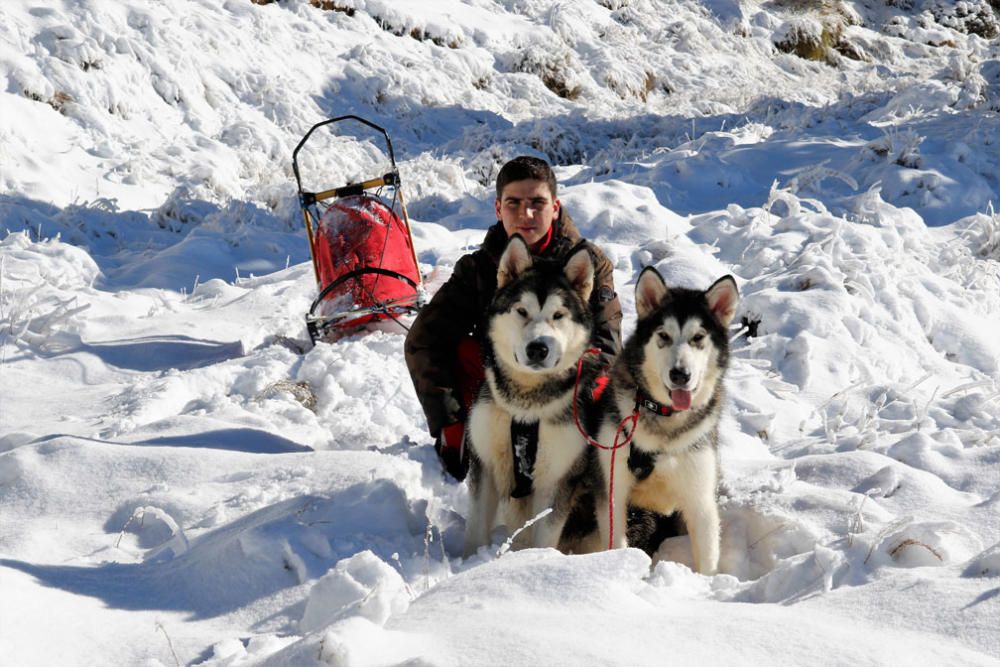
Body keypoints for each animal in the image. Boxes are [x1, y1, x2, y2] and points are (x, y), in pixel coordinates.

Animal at [464, 235, 604, 560]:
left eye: (558, 315)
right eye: (522, 311)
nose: (538, 348)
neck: (525, 405)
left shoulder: (557, 479)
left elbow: (545, 537)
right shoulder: (485, 463)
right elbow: (475, 532)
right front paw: (465, 563)